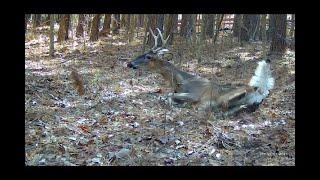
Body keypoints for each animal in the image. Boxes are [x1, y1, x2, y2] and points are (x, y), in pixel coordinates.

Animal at [127, 27, 276, 115]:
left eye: (149, 56)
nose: (130, 63)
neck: (179, 81)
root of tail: (259, 90)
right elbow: (163, 95)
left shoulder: (195, 94)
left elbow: (168, 95)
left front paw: (173, 104)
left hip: (222, 97)